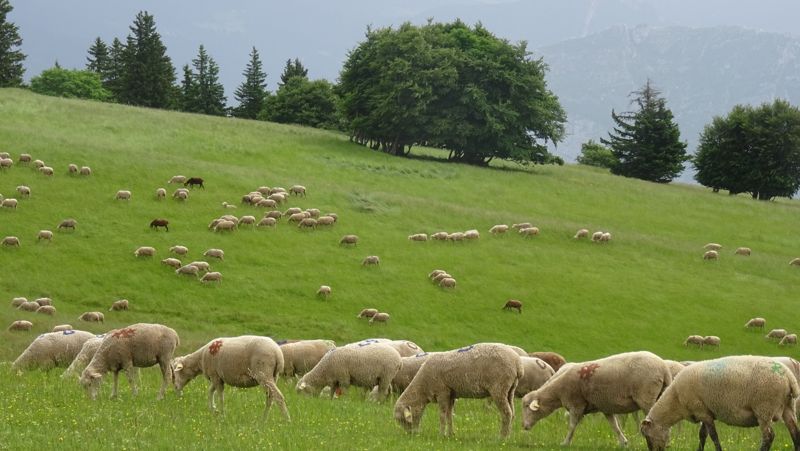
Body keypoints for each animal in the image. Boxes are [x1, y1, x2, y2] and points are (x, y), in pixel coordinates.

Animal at [394, 343, 523, 438]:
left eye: (403, 420)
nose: (411, 435)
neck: (423, 387)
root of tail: (517, 363)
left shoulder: (442, 392)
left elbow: (442, 415)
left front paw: (441, 434)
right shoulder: (451, 394)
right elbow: (449, 415)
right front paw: (450, 434)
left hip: (499, 388)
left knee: (507, 413)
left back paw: (502, 437)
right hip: (510, 389)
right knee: (512, 413)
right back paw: (509, 436)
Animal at [522, 351, 672, 447]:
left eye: (527, 407)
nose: (523, 426)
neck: (557, 392)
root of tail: (663, 368)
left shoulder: (576, 405)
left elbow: (571, 426)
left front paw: (565, 443)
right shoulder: (606, 407)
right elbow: (615, 426)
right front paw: (623, 442)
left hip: (646, 398)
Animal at [639, 356, 800, 451]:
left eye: (647, 435)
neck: (675, 399)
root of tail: (788, 377)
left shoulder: (702, 412)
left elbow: (714, 436)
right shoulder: (704, 411)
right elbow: (702, 435)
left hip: (764, 408)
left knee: (768, 436)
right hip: (788, 407)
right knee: (795, 433)